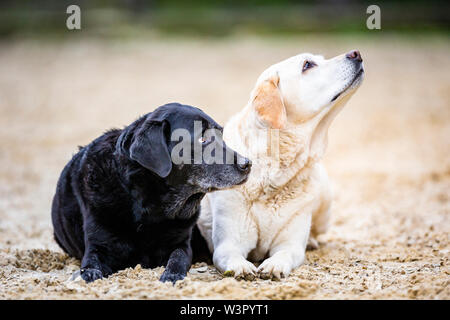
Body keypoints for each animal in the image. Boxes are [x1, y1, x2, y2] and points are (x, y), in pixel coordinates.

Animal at [51, 103, 253, 282]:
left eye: (220, 135)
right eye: (202, 139)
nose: (248, 163)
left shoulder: (180, 244)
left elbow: (178, 258)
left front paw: (172, 275)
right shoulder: (98, 246)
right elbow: (90, 263)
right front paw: (89, 274)